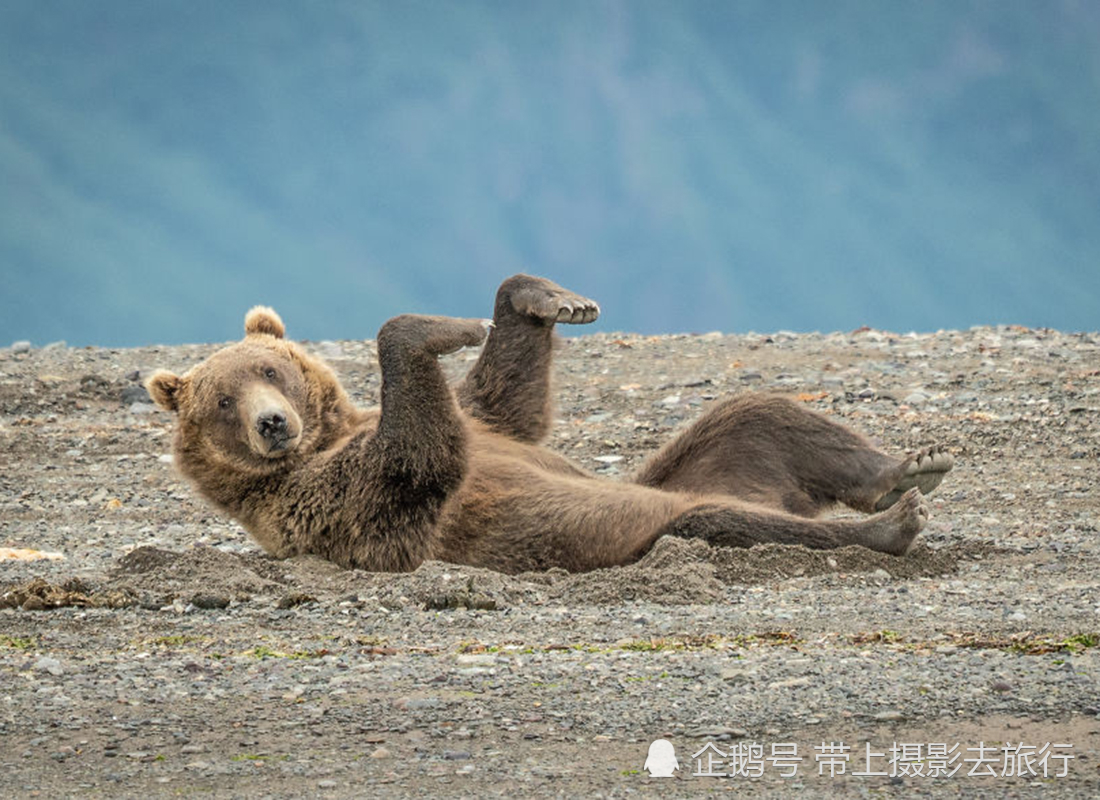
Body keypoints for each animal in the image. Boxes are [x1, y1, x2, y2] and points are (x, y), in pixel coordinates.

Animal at [148, 275, 954, 576]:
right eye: (221, 401)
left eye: (270, 369)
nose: (272, 424)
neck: (328, 436)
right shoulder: (327, 502)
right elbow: (419, 459)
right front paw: (444, 325)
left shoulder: (485, 422)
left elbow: (504, 399)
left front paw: (551, 301)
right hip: (638, 524)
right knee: (724, 520)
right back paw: (889, 525)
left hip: (710, 459)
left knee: (756, 415)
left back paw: (909, 468)